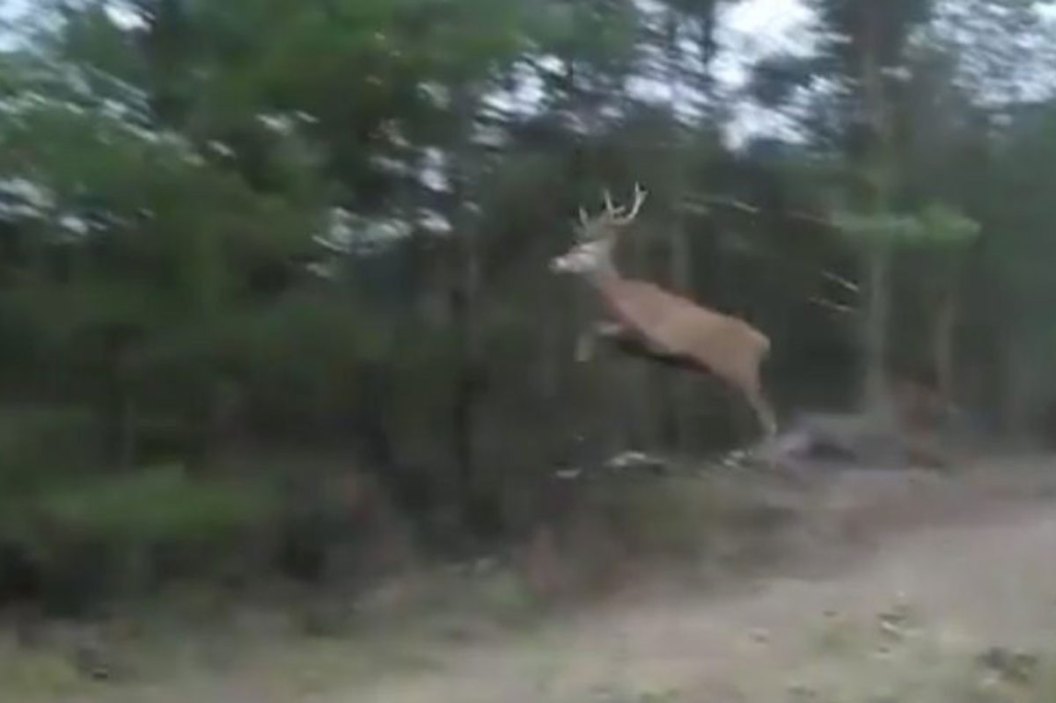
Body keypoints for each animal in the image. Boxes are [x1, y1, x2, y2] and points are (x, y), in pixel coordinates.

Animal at [549, 183, 778, 444]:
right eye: (571, 247)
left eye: (583, 251)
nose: (555, 262)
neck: (625, 296)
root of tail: (763, 343)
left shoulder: (650, 334)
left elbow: (597, 326)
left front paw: (582, 354)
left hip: (743, 370)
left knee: (768, 418)